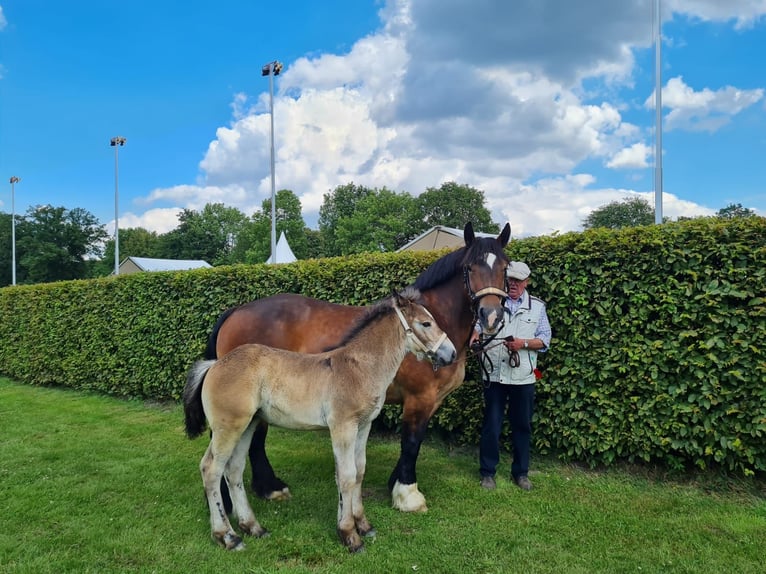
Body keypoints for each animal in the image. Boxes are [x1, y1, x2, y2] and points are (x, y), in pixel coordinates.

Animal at [183, 290, 456, 556]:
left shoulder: (363, 426)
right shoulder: (342, 426)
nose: (451, 353)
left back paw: (252, 527)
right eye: (426, 323)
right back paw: (227, 536)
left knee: (234, 470)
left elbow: (359, 471)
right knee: (211, 469)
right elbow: (346, 476)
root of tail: (215, 364)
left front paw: (363, 525)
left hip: (248, 425)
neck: (358, 368)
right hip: (229, 427)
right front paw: (349, 535)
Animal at [207, 223, 512, 516]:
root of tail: (237, 311)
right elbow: (412, 442)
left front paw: (395, 483)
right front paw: (408, 495)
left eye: (504, 267)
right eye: (469, 268)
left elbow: (413, 444)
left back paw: (267, 488)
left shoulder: (432, 401)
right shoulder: (419, 398)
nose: (491, 315)